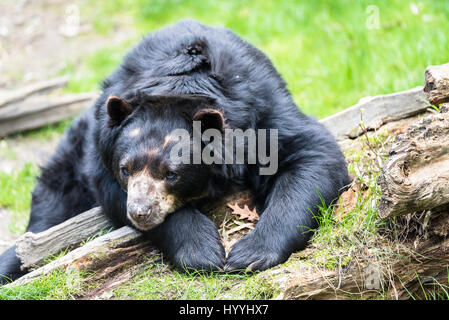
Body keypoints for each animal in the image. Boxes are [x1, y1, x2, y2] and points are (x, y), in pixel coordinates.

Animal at [0, 20, 350, 284]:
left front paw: (248, 255)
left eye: (172, 174)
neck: (180, 84)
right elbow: (113, 191)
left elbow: (312, 154)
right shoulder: (101, 153)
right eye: (126, 169)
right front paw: (203, 253)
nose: (139, 212)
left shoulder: (263, 111)